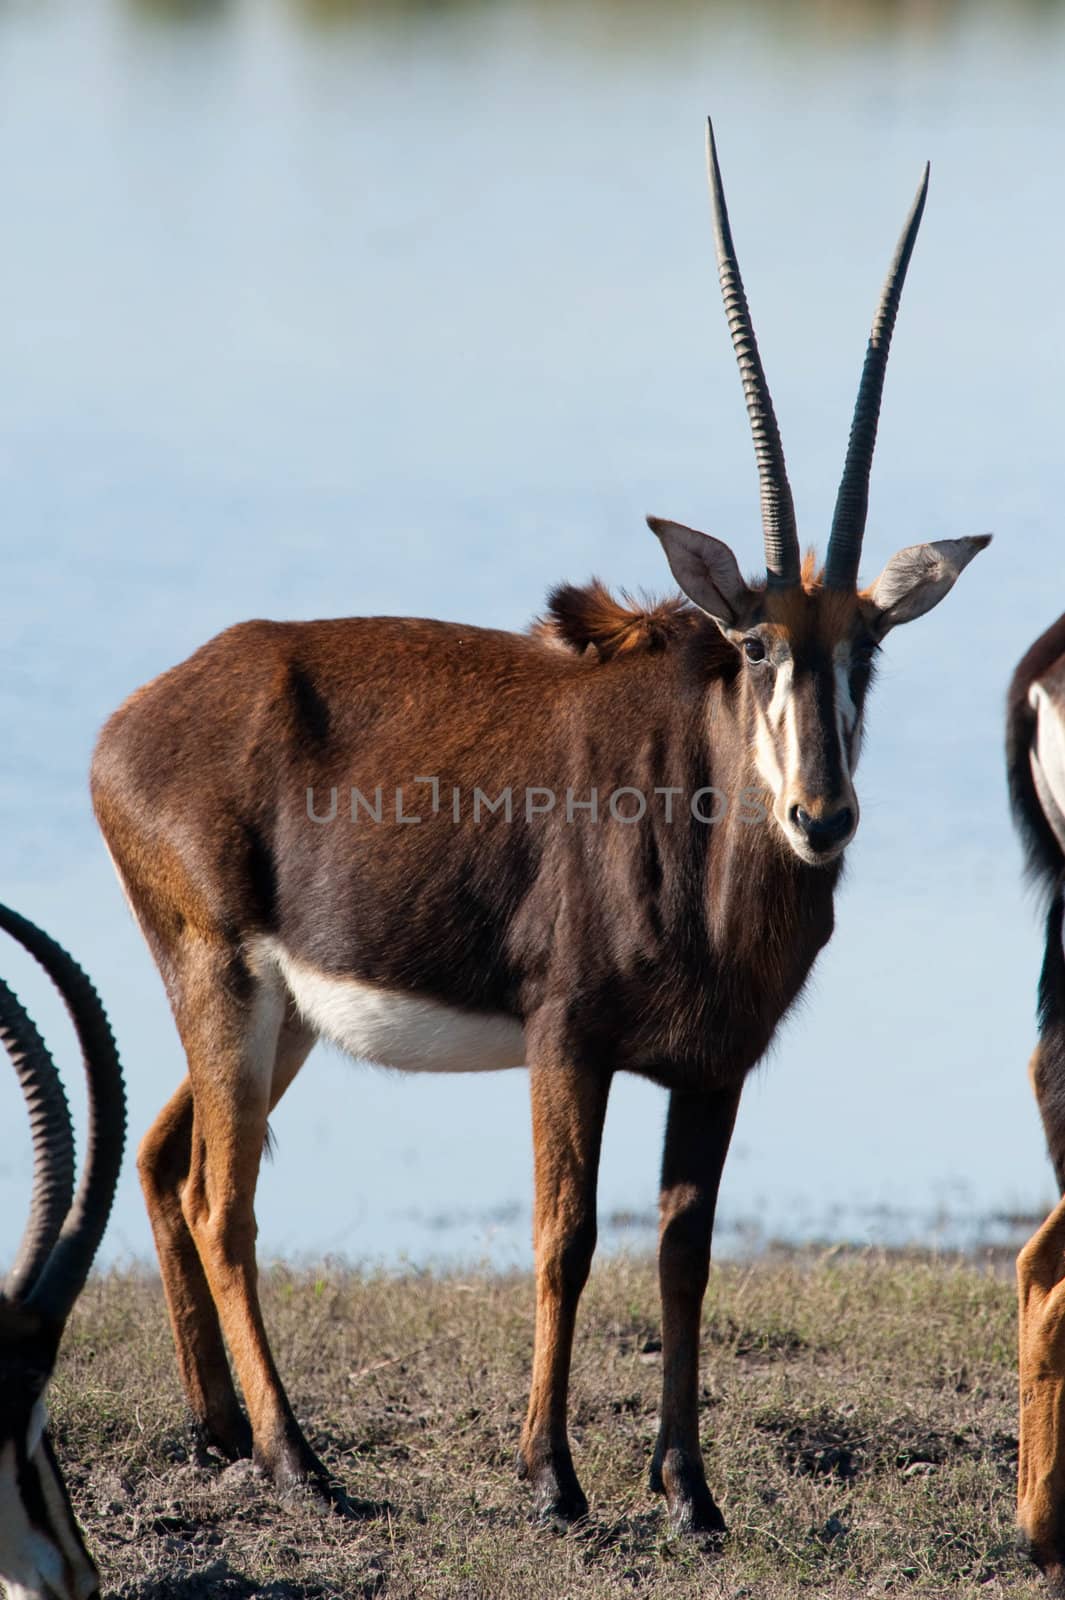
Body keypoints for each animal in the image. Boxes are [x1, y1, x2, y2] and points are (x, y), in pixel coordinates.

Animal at [91, 118, 985, 1529]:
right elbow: (564, 1239)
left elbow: (684, 1252)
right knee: (225, 1200)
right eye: (755, 644)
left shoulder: (714, 1067)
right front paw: (552, 1477)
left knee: (169, 1159)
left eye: (869, 650)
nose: (821, 814)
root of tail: (128, 722)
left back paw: (220, 1431)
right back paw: (300, 1462)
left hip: (282, 1017)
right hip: (221, 979)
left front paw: (690, 1492)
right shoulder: (568, 1041)